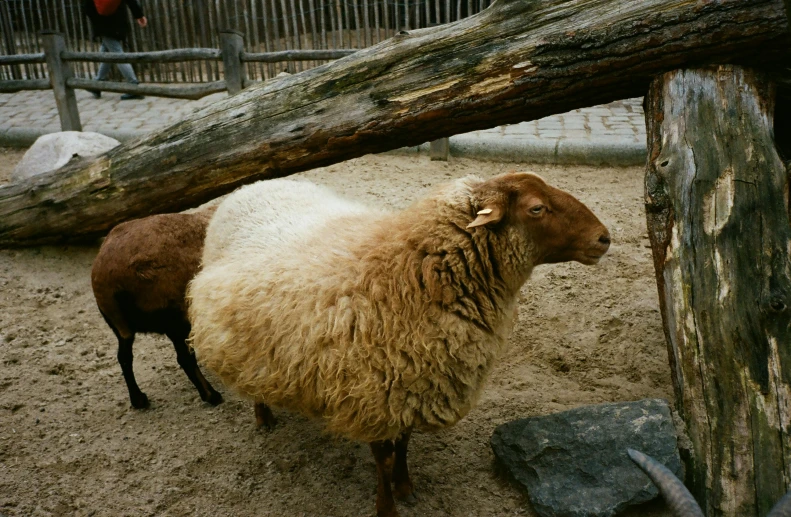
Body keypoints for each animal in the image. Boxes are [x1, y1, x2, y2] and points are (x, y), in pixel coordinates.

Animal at [189, 173, 608, 516]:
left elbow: (404, 446)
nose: (604, 237)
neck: (411, 274)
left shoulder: (413, 384)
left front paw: (406, 487)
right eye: (537, 208)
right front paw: (386, 506)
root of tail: (252, 186)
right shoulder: (372, 394)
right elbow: (383, 459)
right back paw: (263, 415)